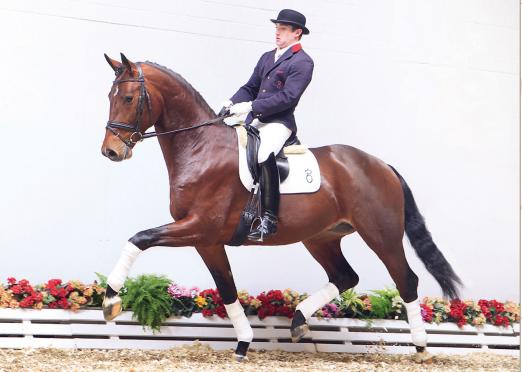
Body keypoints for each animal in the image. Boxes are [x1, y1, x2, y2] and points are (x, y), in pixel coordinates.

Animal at [100, 53, 460, 362]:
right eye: (109, 96)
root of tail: (381, 165)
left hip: (381, 234)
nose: (111, 151)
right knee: (345, 276)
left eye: (128, 98)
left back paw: (421, 347)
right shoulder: (207, 241)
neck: (200, 148)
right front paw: (243, 344)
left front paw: (111, 300)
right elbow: (227, 290)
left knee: (406, 280)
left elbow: (139, 239)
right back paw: (299, 320)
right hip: (321, 237)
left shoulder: (199, 227)